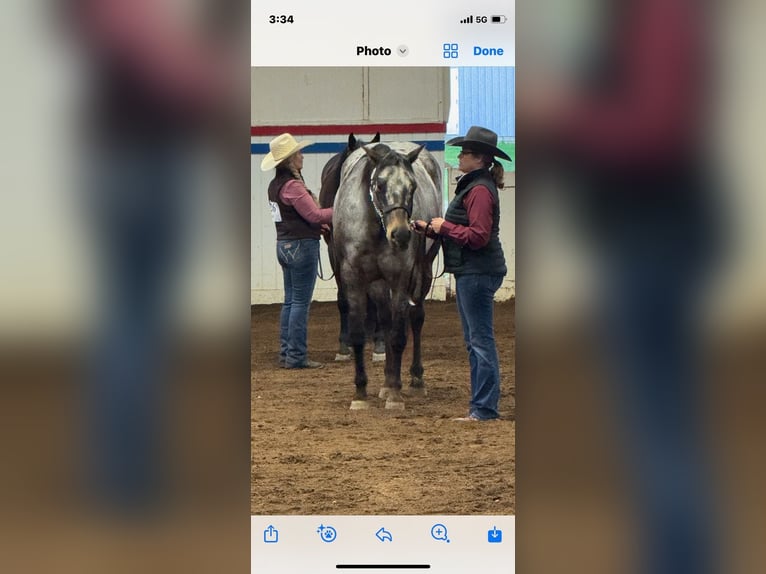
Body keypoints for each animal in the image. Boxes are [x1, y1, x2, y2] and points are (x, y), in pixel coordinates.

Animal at [332, 141, 442, 410]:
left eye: (412, 186)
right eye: (379, 185)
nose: (401, 234)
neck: (375, 227)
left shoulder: (401, 278)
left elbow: (399, 336)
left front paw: (395, 393)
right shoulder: (354, 279)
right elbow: (359, 334)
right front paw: (360, 392)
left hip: (422, 272)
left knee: (415, 318)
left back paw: (414, 379)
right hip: (379, 285)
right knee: (386, 319)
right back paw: (385, 381)